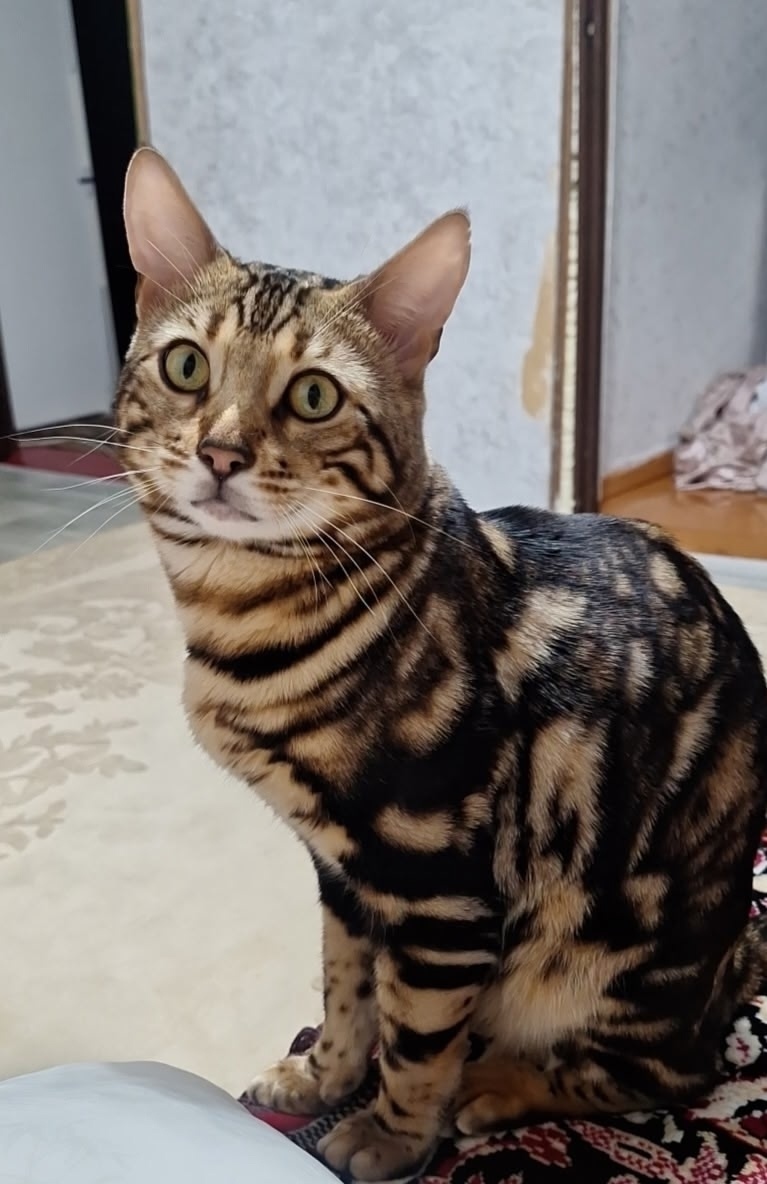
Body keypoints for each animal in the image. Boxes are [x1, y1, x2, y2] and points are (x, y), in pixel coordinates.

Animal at [114, 146, 767, 1181]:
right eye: (186, 366)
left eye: (313, 395)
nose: (219, 451)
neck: (249, 626)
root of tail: (731, 961)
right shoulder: (341, 873)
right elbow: (347, 992)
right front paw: (322, 1078)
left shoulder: (439, 889)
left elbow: (416, 1037)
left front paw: (387, 1135)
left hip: (616, 954)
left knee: (663, 1073)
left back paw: (498, 1083)